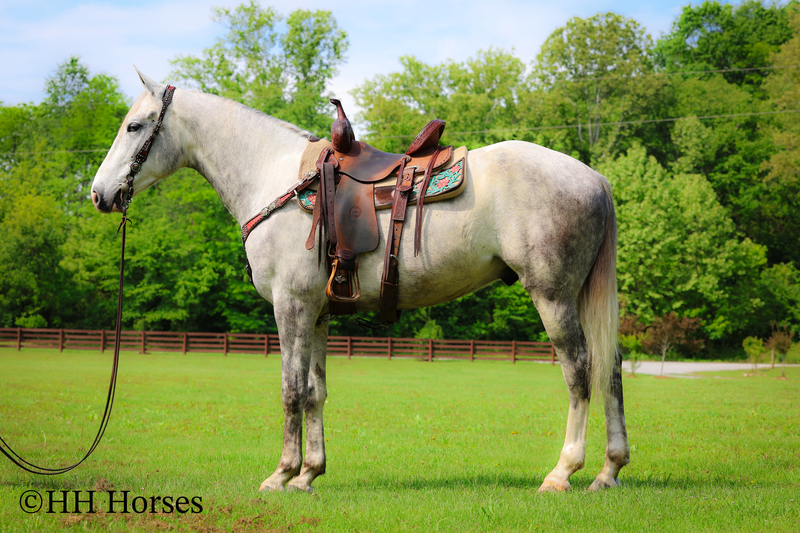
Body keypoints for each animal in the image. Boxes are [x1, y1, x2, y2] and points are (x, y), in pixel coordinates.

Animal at [90, 70, 629, 494]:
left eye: (134, 126)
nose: (99, 194)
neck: (276, 179)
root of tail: (596, 178)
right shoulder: (318, 312)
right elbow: (315, 391)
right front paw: (309, 474)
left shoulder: (290, 306)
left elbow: (290, 389)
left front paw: (280, 475)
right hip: (579, 299)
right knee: (611, 368)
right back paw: (609, 471)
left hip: (553, 297)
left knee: (580, 370)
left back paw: (563, 472)